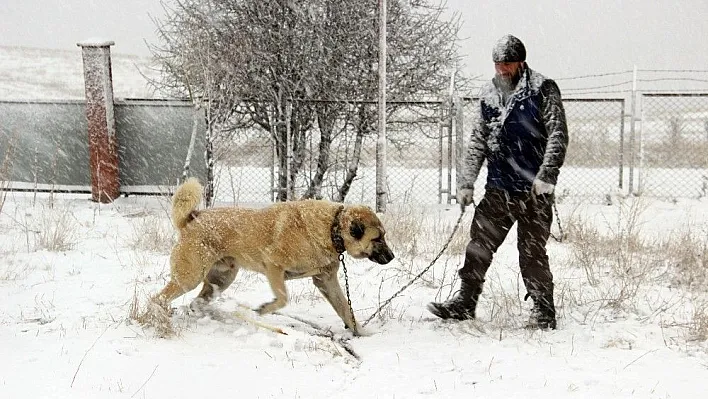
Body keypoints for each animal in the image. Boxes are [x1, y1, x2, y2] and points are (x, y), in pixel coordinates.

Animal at [147, 178, 396, 334]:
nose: (392, 256)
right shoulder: (273, 266)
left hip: (222, 278)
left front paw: (362, 334)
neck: (331, 228)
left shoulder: (326, 280)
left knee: (197, 301)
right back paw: (158, 319)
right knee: (158, 298)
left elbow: (346, 310)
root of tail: (192, 219)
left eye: (383, 235)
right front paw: (263, 309)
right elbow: (283, 298)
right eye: (377, 238)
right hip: (189, 277)